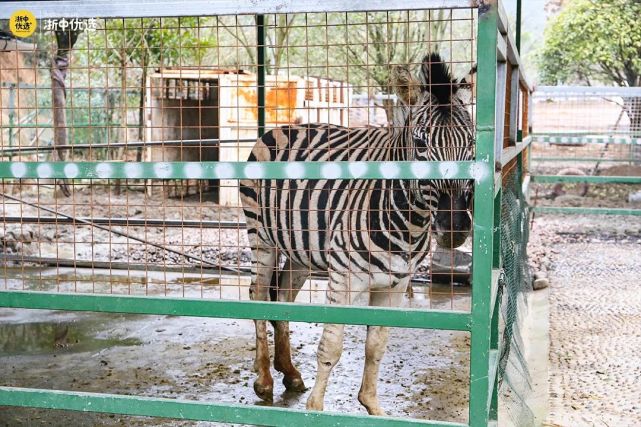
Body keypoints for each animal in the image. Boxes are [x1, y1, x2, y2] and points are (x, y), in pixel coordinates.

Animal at [238, 51, 472, 416]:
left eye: (472, 143)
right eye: (420, 143)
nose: (455, 228)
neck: (409, 223)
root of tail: (282, 126)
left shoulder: (396, 284)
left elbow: (376, 345)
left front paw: (373, 407)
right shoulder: (345, 278)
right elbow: (331, 346)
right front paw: (315, 410)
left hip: (300, 250)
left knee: (283, 296)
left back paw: (289, 372)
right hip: (261, 237)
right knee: (259, 295)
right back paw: (263, 380)